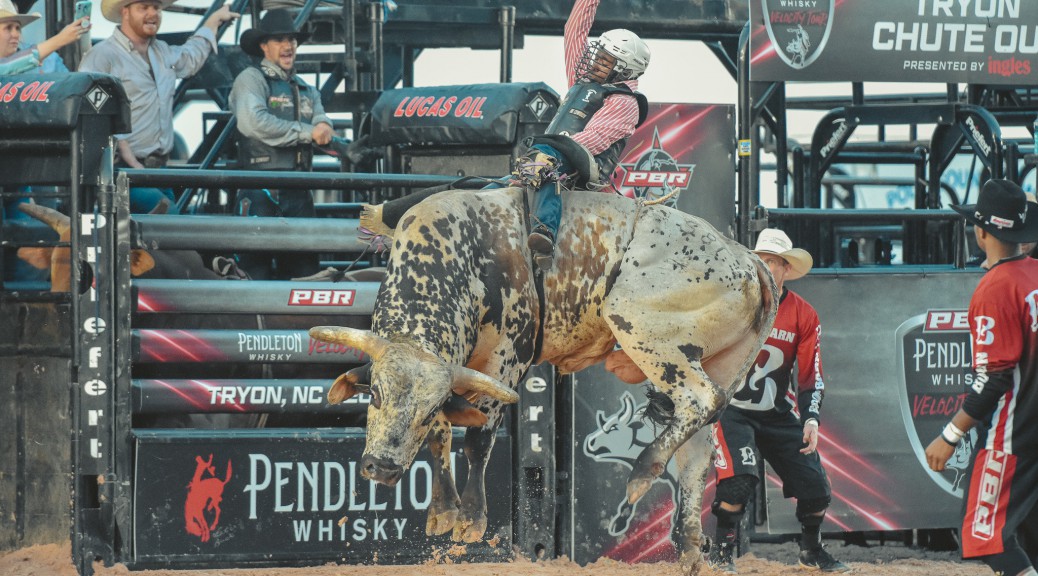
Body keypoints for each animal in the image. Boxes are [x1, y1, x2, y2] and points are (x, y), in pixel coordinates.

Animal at [307, 185, 780, 572]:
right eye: (375, 395)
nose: (382, 468)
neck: (461, 251)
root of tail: (746, 258)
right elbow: (443, 436)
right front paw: (443, 510)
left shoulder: (508, 358)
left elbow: (478, 438)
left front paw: (471, 520)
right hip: (716, 359)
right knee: (697, 449)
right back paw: (689, 551)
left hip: (642, 325)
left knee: (700, 400)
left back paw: (642, 474)